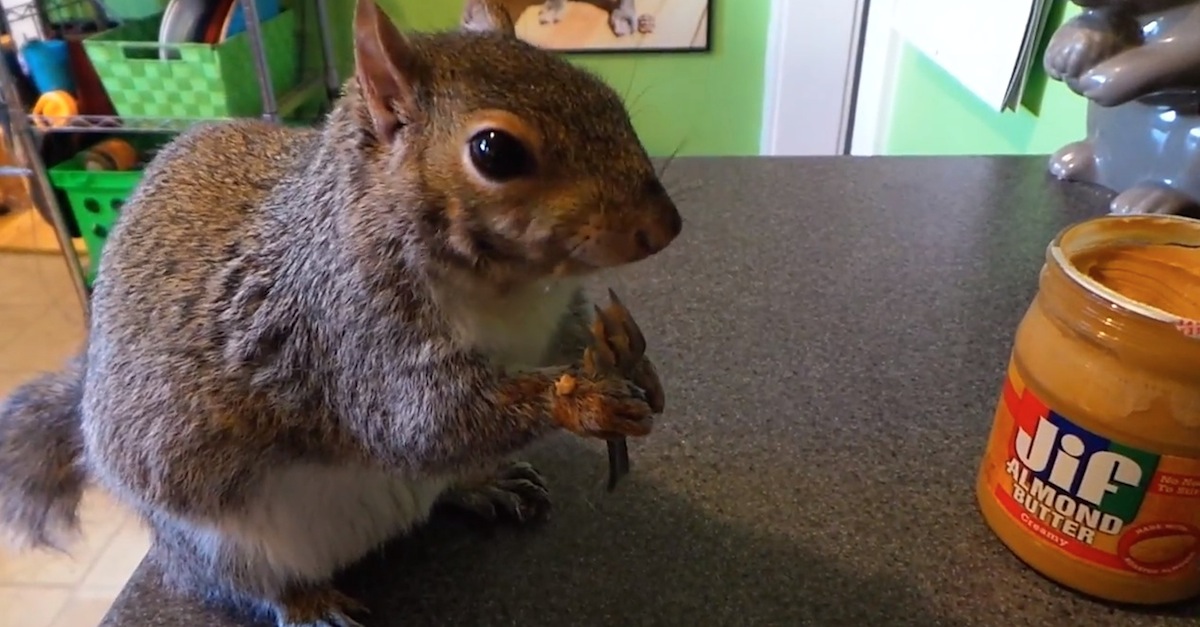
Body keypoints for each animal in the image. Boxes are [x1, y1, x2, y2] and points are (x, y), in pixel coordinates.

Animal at [0, 0, 681, 625]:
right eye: (495, 151)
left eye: (603, 93)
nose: (664, 227)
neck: (511, 293)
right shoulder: (342, 332)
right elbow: (422, 422)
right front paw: (583, 400)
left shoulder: (546, 320)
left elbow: (564, 344)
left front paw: (630, 357)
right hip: (220, 546)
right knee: (244, 583)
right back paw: (307, 604)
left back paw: (484, 483)